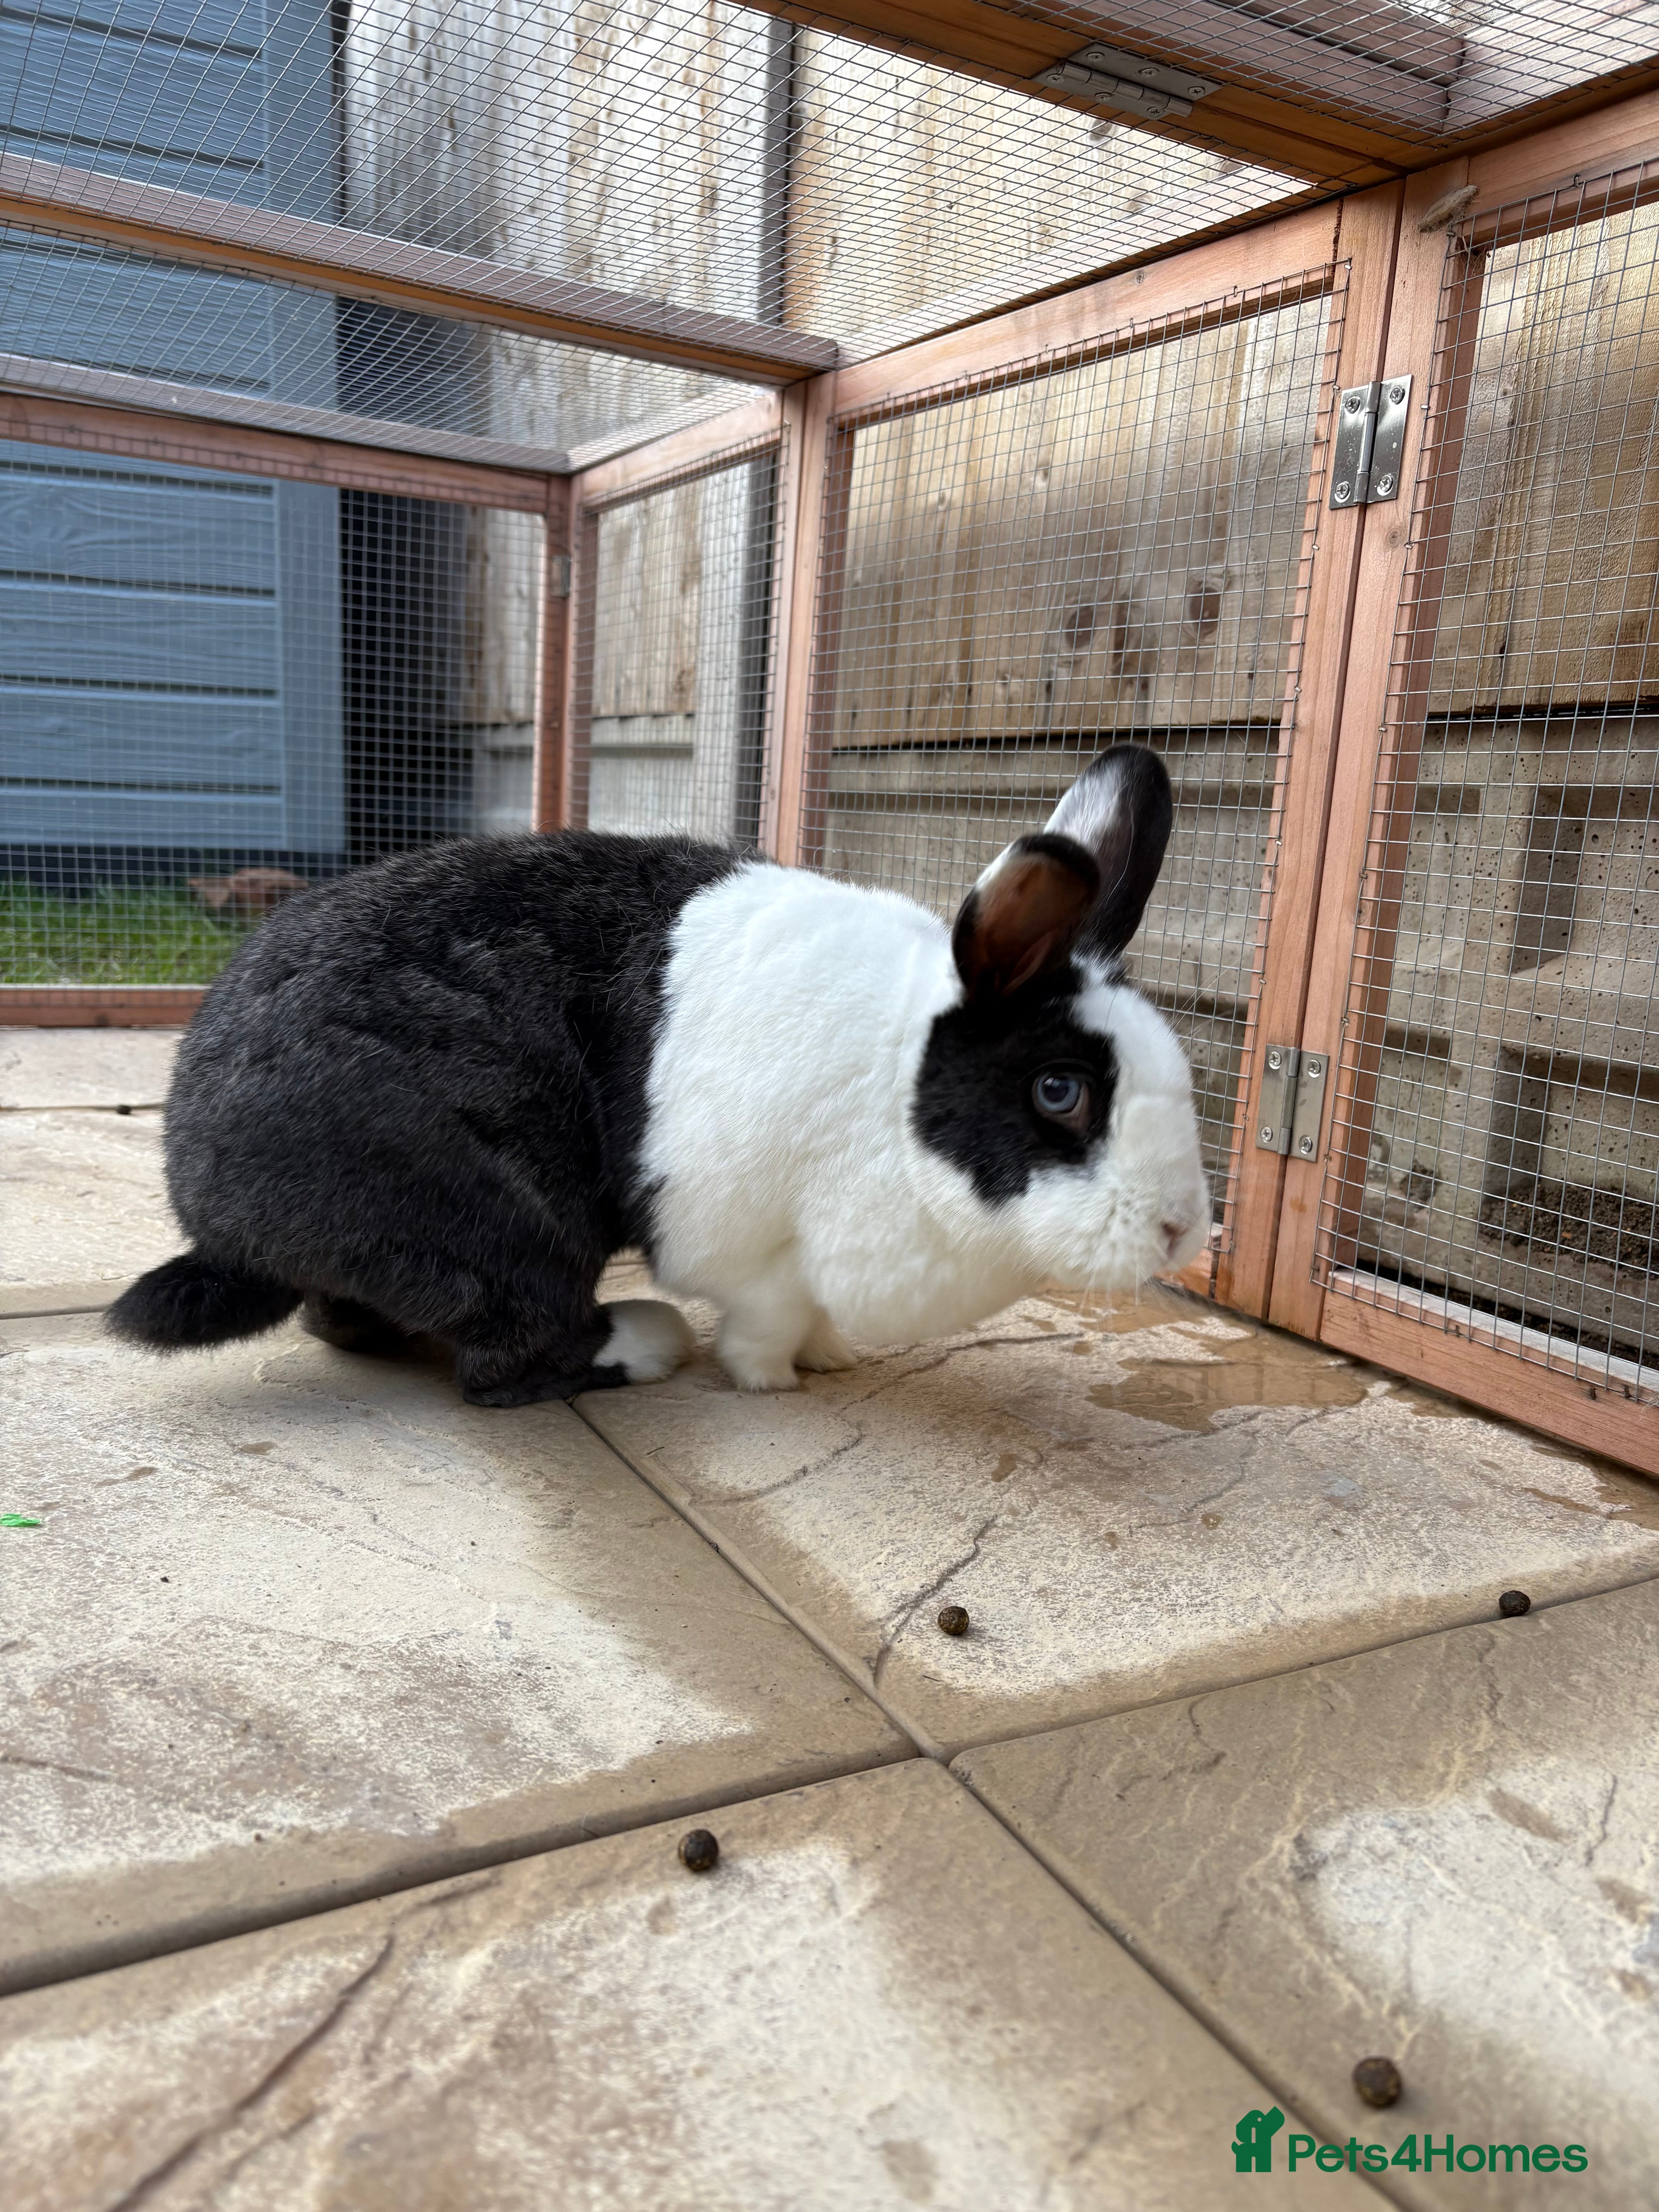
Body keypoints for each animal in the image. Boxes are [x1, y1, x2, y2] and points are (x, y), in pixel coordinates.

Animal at [107, 742, 1211, 1405]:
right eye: (1060, 1091)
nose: (1182, 1232)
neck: (898, 1084)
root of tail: (219, 1222)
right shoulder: (768, 1251)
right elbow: (766, 1325)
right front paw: (778, 1383)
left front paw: (834, 1359)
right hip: (501, 1224)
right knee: (505, 1360)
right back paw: (645, 1343)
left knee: (346, 1322)